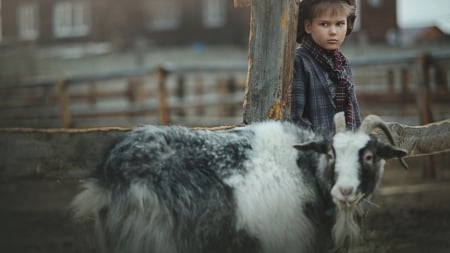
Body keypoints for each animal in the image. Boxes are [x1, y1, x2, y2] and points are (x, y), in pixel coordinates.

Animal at [71, 113, 408, 252]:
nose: (345, 191)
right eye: (331, 153)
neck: (307, 171)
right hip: (150, 241)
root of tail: (110, 173)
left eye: (370, 156)